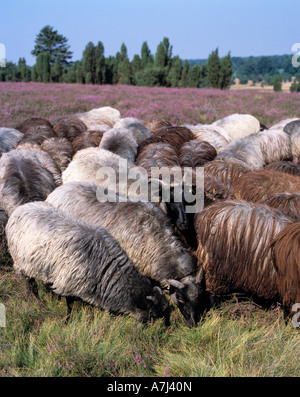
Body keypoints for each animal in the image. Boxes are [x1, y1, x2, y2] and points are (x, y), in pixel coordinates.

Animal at [5, 200, 171, 324]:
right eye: (152, 314)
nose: (160, 331)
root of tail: (20, 208)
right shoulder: (68, 283)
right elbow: (69, 305)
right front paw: (67, 320)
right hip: (22, 262)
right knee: (30, 283)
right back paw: (36, 300)